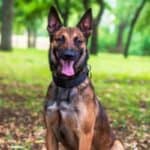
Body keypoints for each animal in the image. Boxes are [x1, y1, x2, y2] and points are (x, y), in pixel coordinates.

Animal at [43, 6, 124, 150]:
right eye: (60, 39)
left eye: (78, 41)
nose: (68, 55)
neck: (66, 85)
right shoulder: (50, 133)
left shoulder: (85, 134)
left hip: (117, 143)